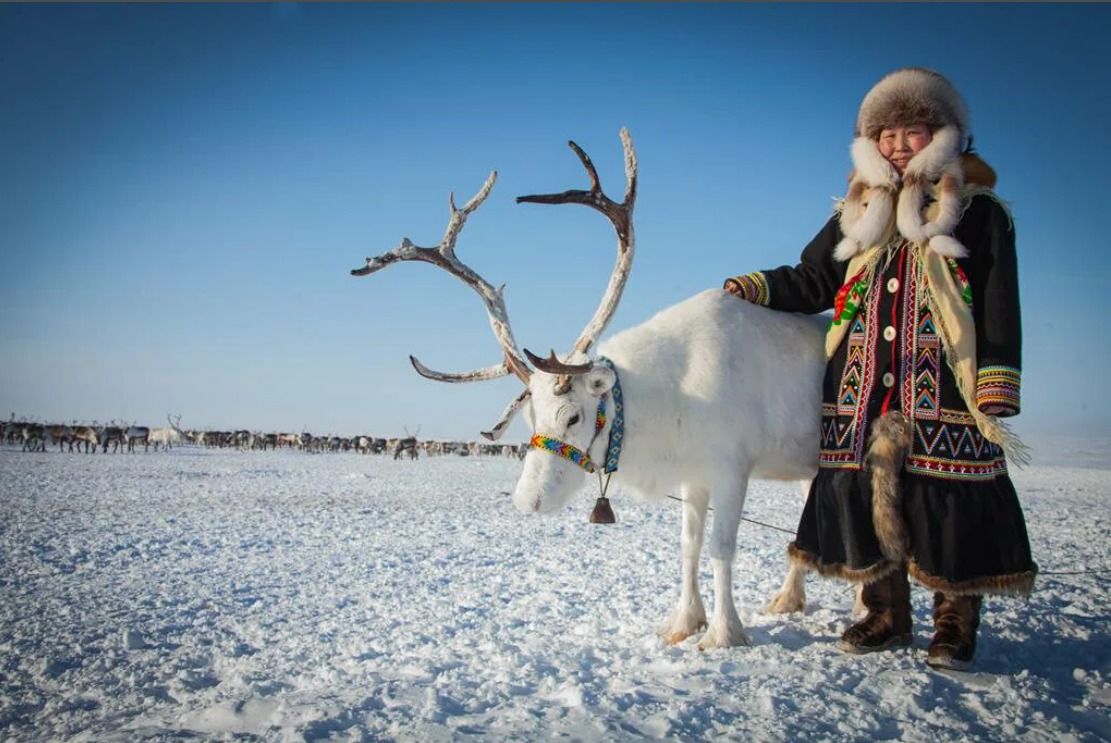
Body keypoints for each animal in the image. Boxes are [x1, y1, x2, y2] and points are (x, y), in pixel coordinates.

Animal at [351, 129, 831, 649]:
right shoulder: (693, 473)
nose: (527, 502)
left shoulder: (731, 469)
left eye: (574, 417)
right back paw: (789, 599)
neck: (672, 397)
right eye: (528, 418)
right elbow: (689, 546)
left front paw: (724, 633)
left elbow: (722, 548)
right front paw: (682, 623)